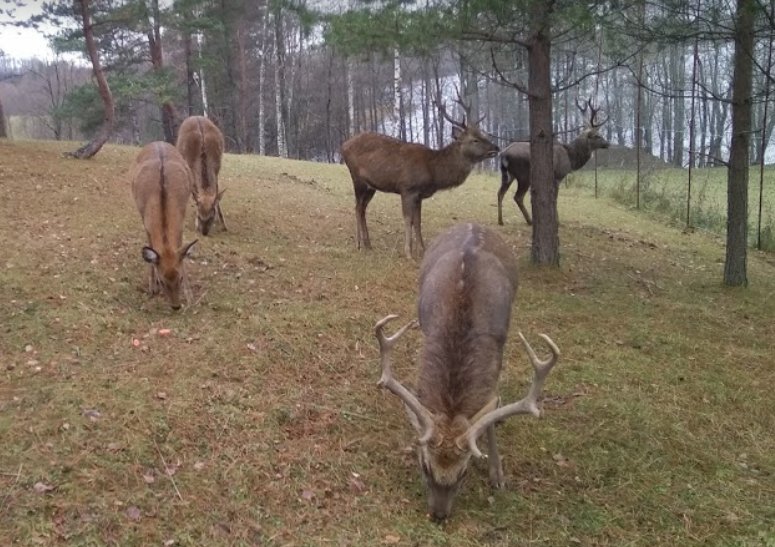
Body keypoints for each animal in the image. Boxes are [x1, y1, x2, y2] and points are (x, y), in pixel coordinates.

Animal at [131, 141, 199, 310]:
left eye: (180, 278)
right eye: (162, 281)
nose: (176, 306)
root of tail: (158, 142)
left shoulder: (180, 224)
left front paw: (190, 296)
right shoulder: (146, 224)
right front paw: (152, 288)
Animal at [342, 103, 500, 262]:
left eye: (484, 135)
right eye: (475, 139)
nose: (496, 147)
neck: (433, 171)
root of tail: (343, 146)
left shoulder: (419, 195)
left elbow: (417, 221)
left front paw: (422, 250)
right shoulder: (407, 188)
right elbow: (408, 219)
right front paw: (408, 254)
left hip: (371, 186)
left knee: (362, 208)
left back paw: (368, 244)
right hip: (357, 178)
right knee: (357, 207)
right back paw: (358, 244)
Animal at [374, 223, 560, 524]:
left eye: (463, 472)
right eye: (425, 466)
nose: (439, 515)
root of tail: (474, 223)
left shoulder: (497, 349)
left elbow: (490, 405)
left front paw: (497, 475)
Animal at [498, 98, 612, 227]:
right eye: (597, 135)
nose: (608, 143)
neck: (571, 158)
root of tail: (503, 154)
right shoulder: (558, 176)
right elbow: (555, 199)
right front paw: (557, 221)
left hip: (508, 174)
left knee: (500, 193)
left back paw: (501, 220)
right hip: (524, 174)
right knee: (518, 197)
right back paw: (529, 221)